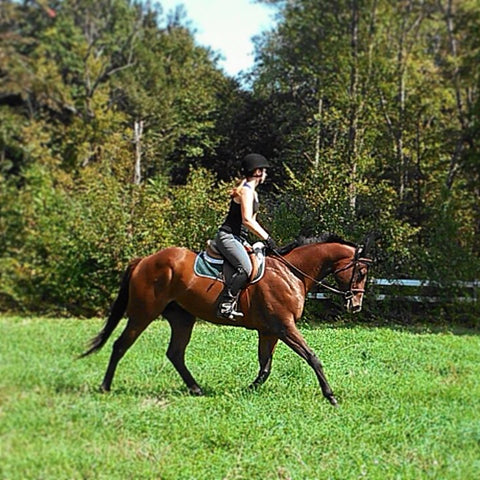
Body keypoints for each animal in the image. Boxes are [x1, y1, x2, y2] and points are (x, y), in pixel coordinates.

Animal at [81, 232, 376, 404]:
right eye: (361, 272)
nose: (355, 305)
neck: (291, 272)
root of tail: (144, 260)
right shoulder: (284, 327)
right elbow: (312, 357)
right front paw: (330, 396)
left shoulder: (270, 331)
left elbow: (265, 367)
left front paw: (247, 390)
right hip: (143, 313)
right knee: (121, 345)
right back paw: (105, 387)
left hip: (182, 318)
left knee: (175, 353)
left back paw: (196, 389)